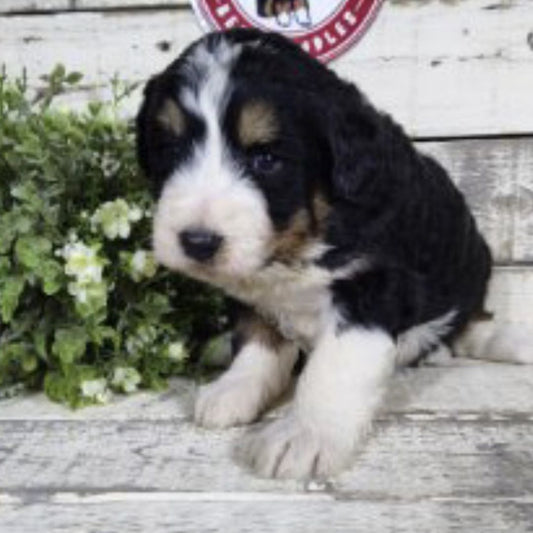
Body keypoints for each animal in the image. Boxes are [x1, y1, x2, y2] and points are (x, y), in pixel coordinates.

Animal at [136, 29, 490, 478]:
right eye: (172, 150)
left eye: (266, 159)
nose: (197, 242)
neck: (300, 241)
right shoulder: (252, 290)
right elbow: (257, 339)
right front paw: (236, 387)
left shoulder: (373, 283)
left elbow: (335, 365)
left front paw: (306, 435)